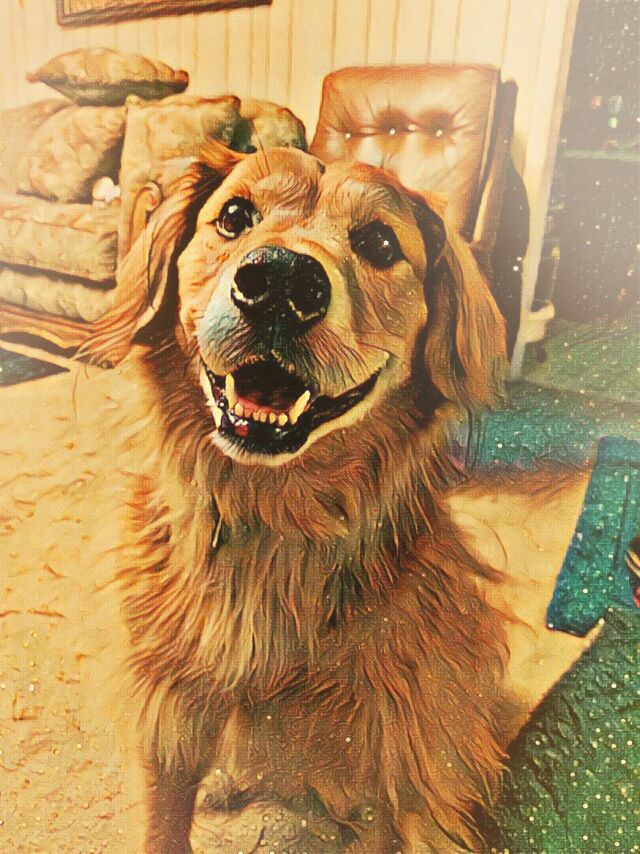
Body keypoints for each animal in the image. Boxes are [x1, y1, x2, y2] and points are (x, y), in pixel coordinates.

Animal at [85, 143, 593, 852]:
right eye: (234, 216)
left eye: (379, 242)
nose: (279, 282)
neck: (272, 523)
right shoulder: (170, 720)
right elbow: (164, 823)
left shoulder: (386, 771)